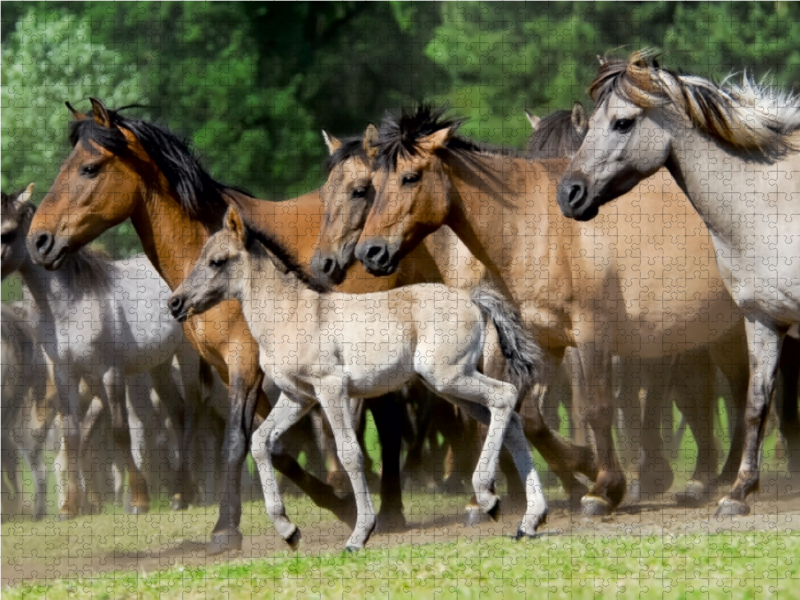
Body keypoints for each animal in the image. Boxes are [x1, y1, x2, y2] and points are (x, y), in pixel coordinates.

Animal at [25, 98, 424, 552]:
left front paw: (225, 528)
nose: (39, 241)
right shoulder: (228, 368)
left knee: (391, 423)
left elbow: (236, 440)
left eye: (89, 168)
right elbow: (270, 445)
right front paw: (332, 507)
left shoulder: (244, 362)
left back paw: (392, 510)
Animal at [354, 106, 752, 516]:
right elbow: (528, 414)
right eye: (372, 185)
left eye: (410, 177)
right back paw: (721, 478)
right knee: (739, 389)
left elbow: (596, 407)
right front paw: (584, 466)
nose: (370, 252)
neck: (538, 229)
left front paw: (604, 489)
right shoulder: (543, 340)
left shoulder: (592, 335)